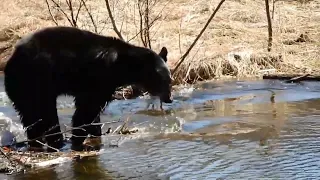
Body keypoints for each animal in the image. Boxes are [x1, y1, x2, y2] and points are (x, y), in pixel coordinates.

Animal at [3, 26, 172, 151]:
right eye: (162, 81)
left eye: (170, 80)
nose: (169, 99)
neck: (121, 65)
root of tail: (10, 61)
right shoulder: (100, 78)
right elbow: (87, 108)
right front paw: (79, 137)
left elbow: (93, 110)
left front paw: (95, 133)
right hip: (36, 81)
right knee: (46, 113)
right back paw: (57, 141)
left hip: (23, 89)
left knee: (29, 116)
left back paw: (36, 142)